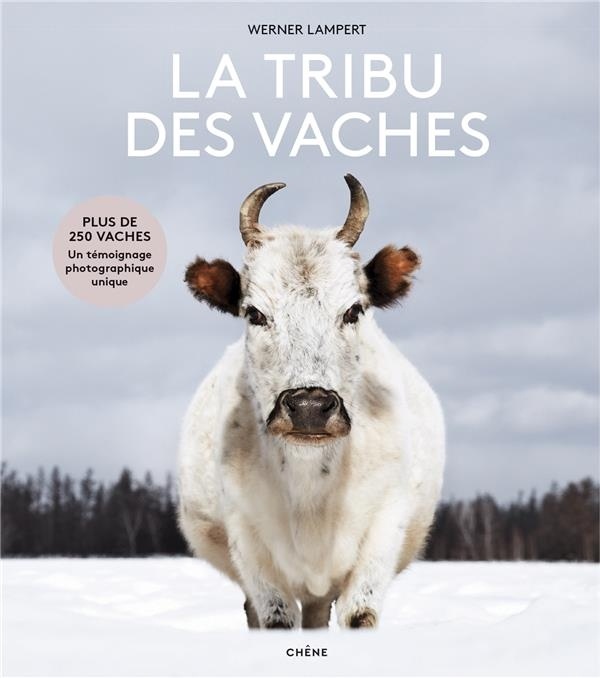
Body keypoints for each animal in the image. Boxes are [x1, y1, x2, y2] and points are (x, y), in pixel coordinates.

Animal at [178, 175, 445, 630]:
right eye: (255, 314)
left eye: (353, 310)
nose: (308, 409)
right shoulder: (250, 542)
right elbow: (275, 617)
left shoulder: (382, 528)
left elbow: (360, 615)